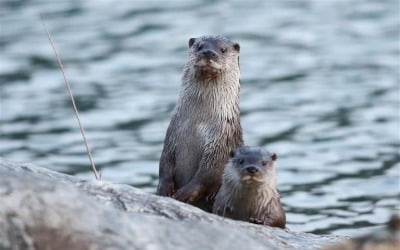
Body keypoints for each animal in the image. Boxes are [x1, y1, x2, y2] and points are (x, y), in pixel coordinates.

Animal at [158, 35, 242, 211]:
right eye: (199, 46)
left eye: (223, 49)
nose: (209, 52)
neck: (197, 125)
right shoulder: (171, 135)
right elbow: (164, 163)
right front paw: (163, 189)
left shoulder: (221, 143)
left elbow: (207, 174)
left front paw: (184, 194)